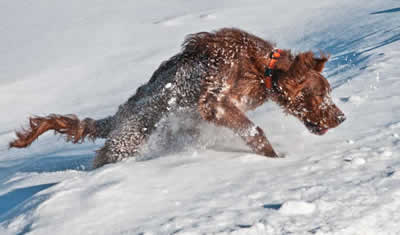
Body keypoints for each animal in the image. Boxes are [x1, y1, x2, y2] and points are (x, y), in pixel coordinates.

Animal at [10, 28, 346, 168]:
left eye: (329, 92)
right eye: (320, 94)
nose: (341, 117)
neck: (261, 68)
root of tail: (116, 117)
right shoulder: (214, 102)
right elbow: (254, 131)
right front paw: (277, 158)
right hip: (127, 139)